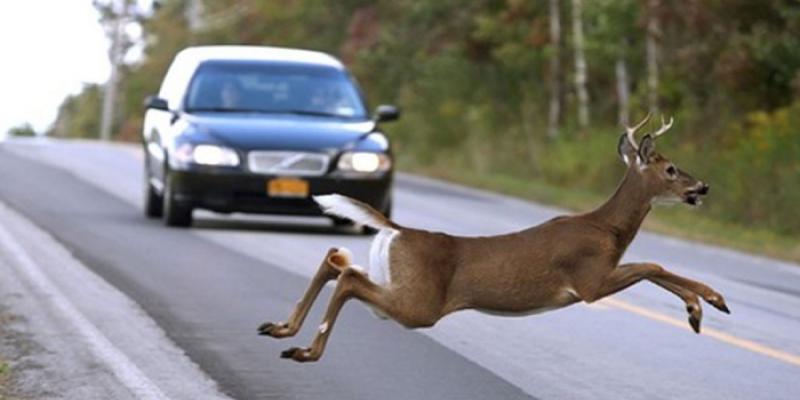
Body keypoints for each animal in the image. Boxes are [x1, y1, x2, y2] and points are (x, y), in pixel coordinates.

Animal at [258, 113, 732, 362]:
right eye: (670, 169)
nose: (704, 187)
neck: (608, 229)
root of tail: (399, 230)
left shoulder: (597, 277)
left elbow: (653, 267)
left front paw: (701, 306)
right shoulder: (589, 280)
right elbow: (653, 264)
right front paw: (706, 303)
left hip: (399, 285)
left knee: (337, 260)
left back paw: (281, 329)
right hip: (420, 305)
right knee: (349, 278)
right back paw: (306, 350)